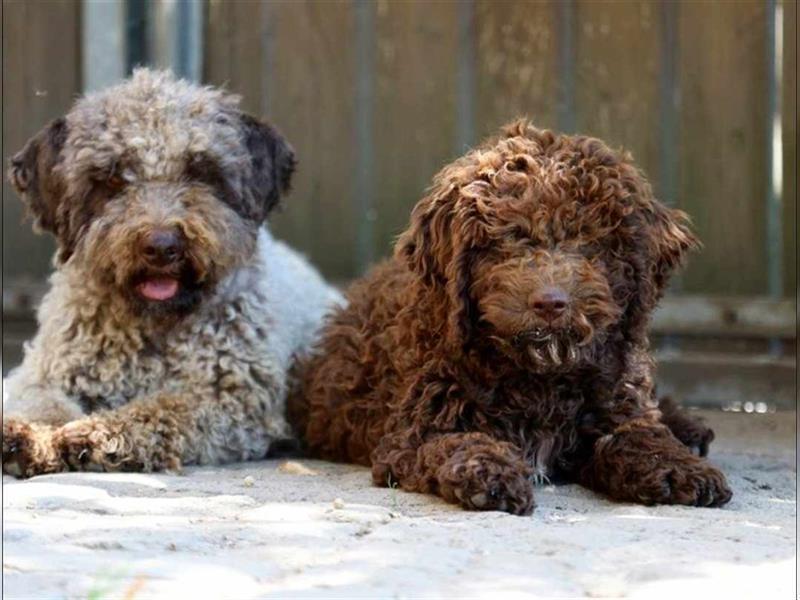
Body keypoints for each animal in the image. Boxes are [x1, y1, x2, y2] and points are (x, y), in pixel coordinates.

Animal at [3, 68, 342, 478]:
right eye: (112, 179)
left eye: (201, 173)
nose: (162, 247)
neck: (152, 330)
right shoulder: (43, 374)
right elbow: (43, 404)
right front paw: (26, 435)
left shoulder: (229, 398)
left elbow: (161, 409)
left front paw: (101, 435)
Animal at [290, 120, 736, 516]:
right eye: (509, 239)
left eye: (590, 241)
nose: (551, 302)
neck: (542, 375)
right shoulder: (414, 433)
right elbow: (459, 442)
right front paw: (489, 474)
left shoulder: (615, 399)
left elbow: (637, 433)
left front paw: (678, 467)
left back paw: (688, 429)